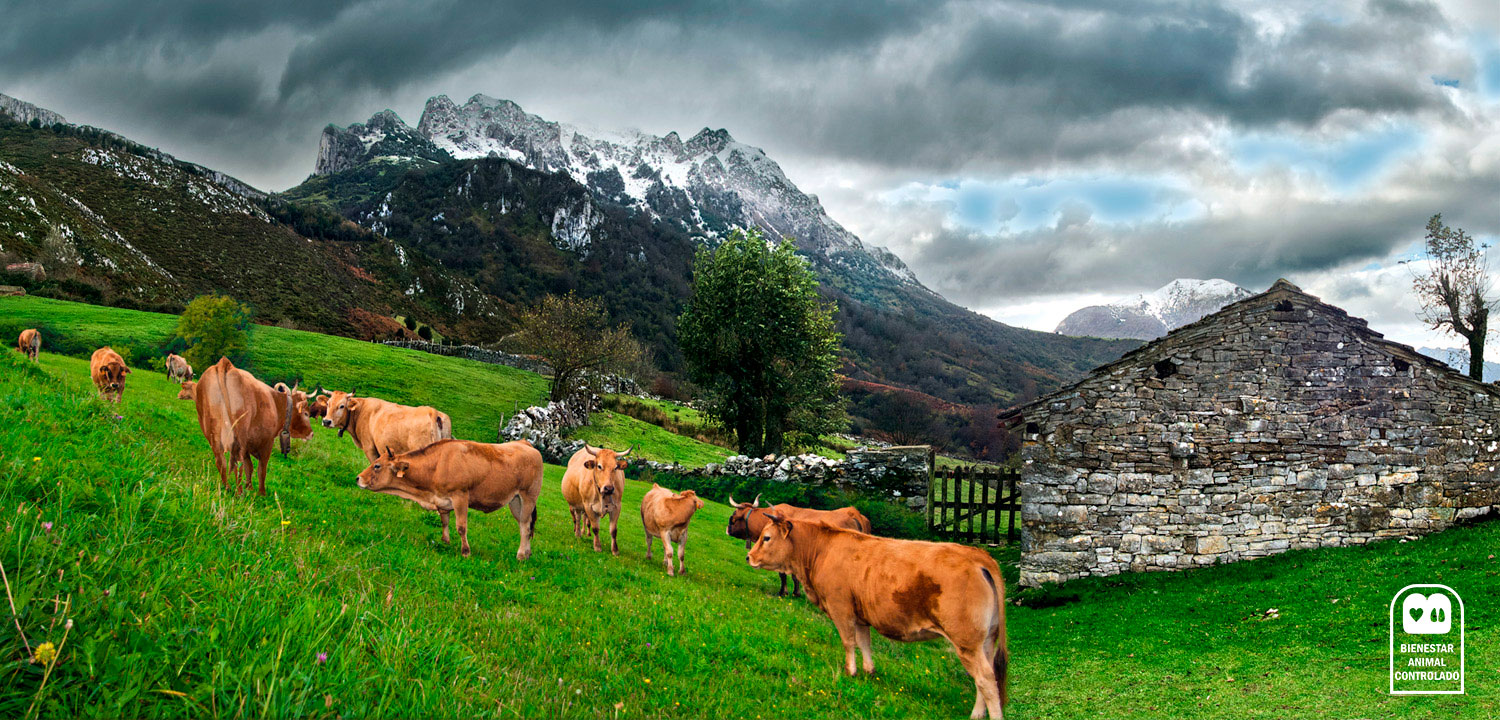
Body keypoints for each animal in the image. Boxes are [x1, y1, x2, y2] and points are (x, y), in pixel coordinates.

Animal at [193, 358, 313, 495]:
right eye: (306, 413)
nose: (311, 433)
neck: (275, 403)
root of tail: (225, 364)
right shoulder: (267, 442)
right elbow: (261, 469)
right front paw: (261, 493)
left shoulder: (248, 445)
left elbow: (249, 467)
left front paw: (249, 487)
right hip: (239, 434)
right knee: (237, 462)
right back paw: (239, 492)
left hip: (211, 431)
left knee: (221, 461)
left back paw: (228, 488)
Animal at [321, 390, 450, 537]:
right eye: (328, 403)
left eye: (342, 406)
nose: (326, 421)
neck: (361, 411)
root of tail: (433, 412)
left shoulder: (370, 447)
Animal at [354, 438, 543, 564]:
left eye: (377, 466)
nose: (358, 478)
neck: (437, 464)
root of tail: (525, 443)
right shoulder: (442, 500)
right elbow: (444, 521)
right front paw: (445, 542)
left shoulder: (460, 497)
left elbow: (461, 527)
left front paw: (465, 551)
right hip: (515, 501)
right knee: (525, 525)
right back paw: (528, 553)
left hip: (528, 497)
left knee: (525, 527)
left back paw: (521, 555)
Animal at [723, 495, 876, 597]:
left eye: (733, 516)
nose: (727, 529)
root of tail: (854, 513)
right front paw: (796, 592)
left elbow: (783, 575)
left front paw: (783, 592)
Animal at [750, 516, 1008, 720]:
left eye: (767, 538)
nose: (748, 556)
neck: (822, 550)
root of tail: (978, 556)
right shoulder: (861, 614)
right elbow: (864, 642)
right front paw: (868, 671)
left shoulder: (840, 607)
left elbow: (849, 642)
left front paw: (850, 671)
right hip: (985, 641)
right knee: (986, 678)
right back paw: (977, 714)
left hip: (967, 642)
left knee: (986, 679)